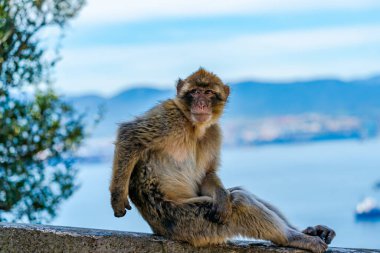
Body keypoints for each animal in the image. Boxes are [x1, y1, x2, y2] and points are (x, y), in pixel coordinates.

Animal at [110, 68, 336, 252]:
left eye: (209, 93)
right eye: (194, 92)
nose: (201, 103)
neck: (192, 125)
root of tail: (157, 229)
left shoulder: (213, 132)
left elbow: (207, 174)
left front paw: (220, 193)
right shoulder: (170, 115)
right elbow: (130, 135)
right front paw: (117, 198)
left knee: (235, 194)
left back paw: (310, 231)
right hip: (187, 222)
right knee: (239, 201)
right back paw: (293, 238)